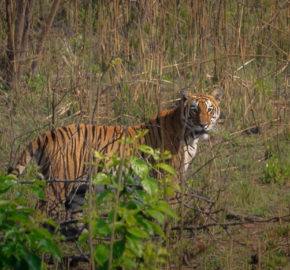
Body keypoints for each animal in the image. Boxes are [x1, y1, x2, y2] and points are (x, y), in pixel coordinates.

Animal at [8, 89, 222, 236]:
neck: (190, 135)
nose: (204, 125)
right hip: (57, 186)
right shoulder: (169, 179)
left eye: (209, 109)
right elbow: (168, 211)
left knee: (73, 216)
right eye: (194, 110)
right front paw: (168, 236)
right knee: (38, 214)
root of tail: (47, 134)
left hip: (78, 189)